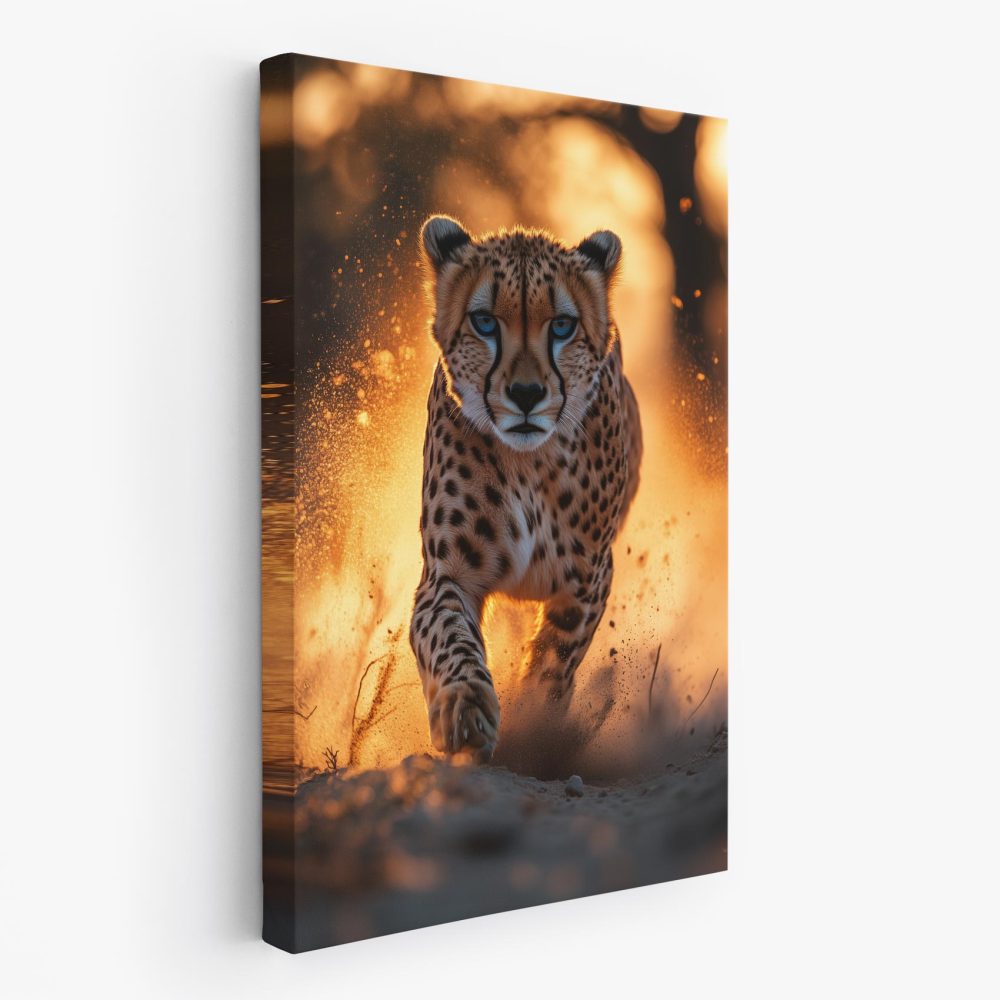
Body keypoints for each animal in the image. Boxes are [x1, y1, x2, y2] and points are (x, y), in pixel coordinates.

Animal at [409, 215, 643, 762]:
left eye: (561, 326)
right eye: (484, 322)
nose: (526, 394)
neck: (529, 463)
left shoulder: (587, 581)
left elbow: (554, 663)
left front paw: (536, 730)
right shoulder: (447, 574)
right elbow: (450, 637)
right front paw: (465, 708)